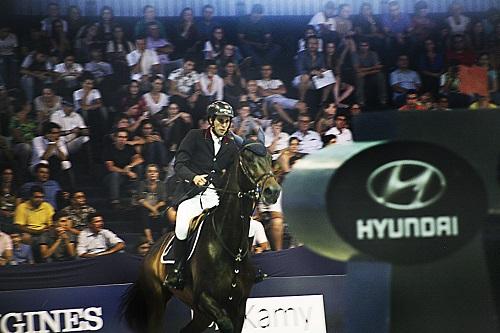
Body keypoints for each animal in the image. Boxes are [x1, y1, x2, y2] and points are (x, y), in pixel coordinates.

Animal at [122, 141, 282, 332]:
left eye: (270, 158)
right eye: (248, 159)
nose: (273, 191)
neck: (228, 243)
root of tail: (151, 249)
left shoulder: (238, 306)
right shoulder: (204, 298)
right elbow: (226, 325)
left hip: (200, 314)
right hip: (157, 301)